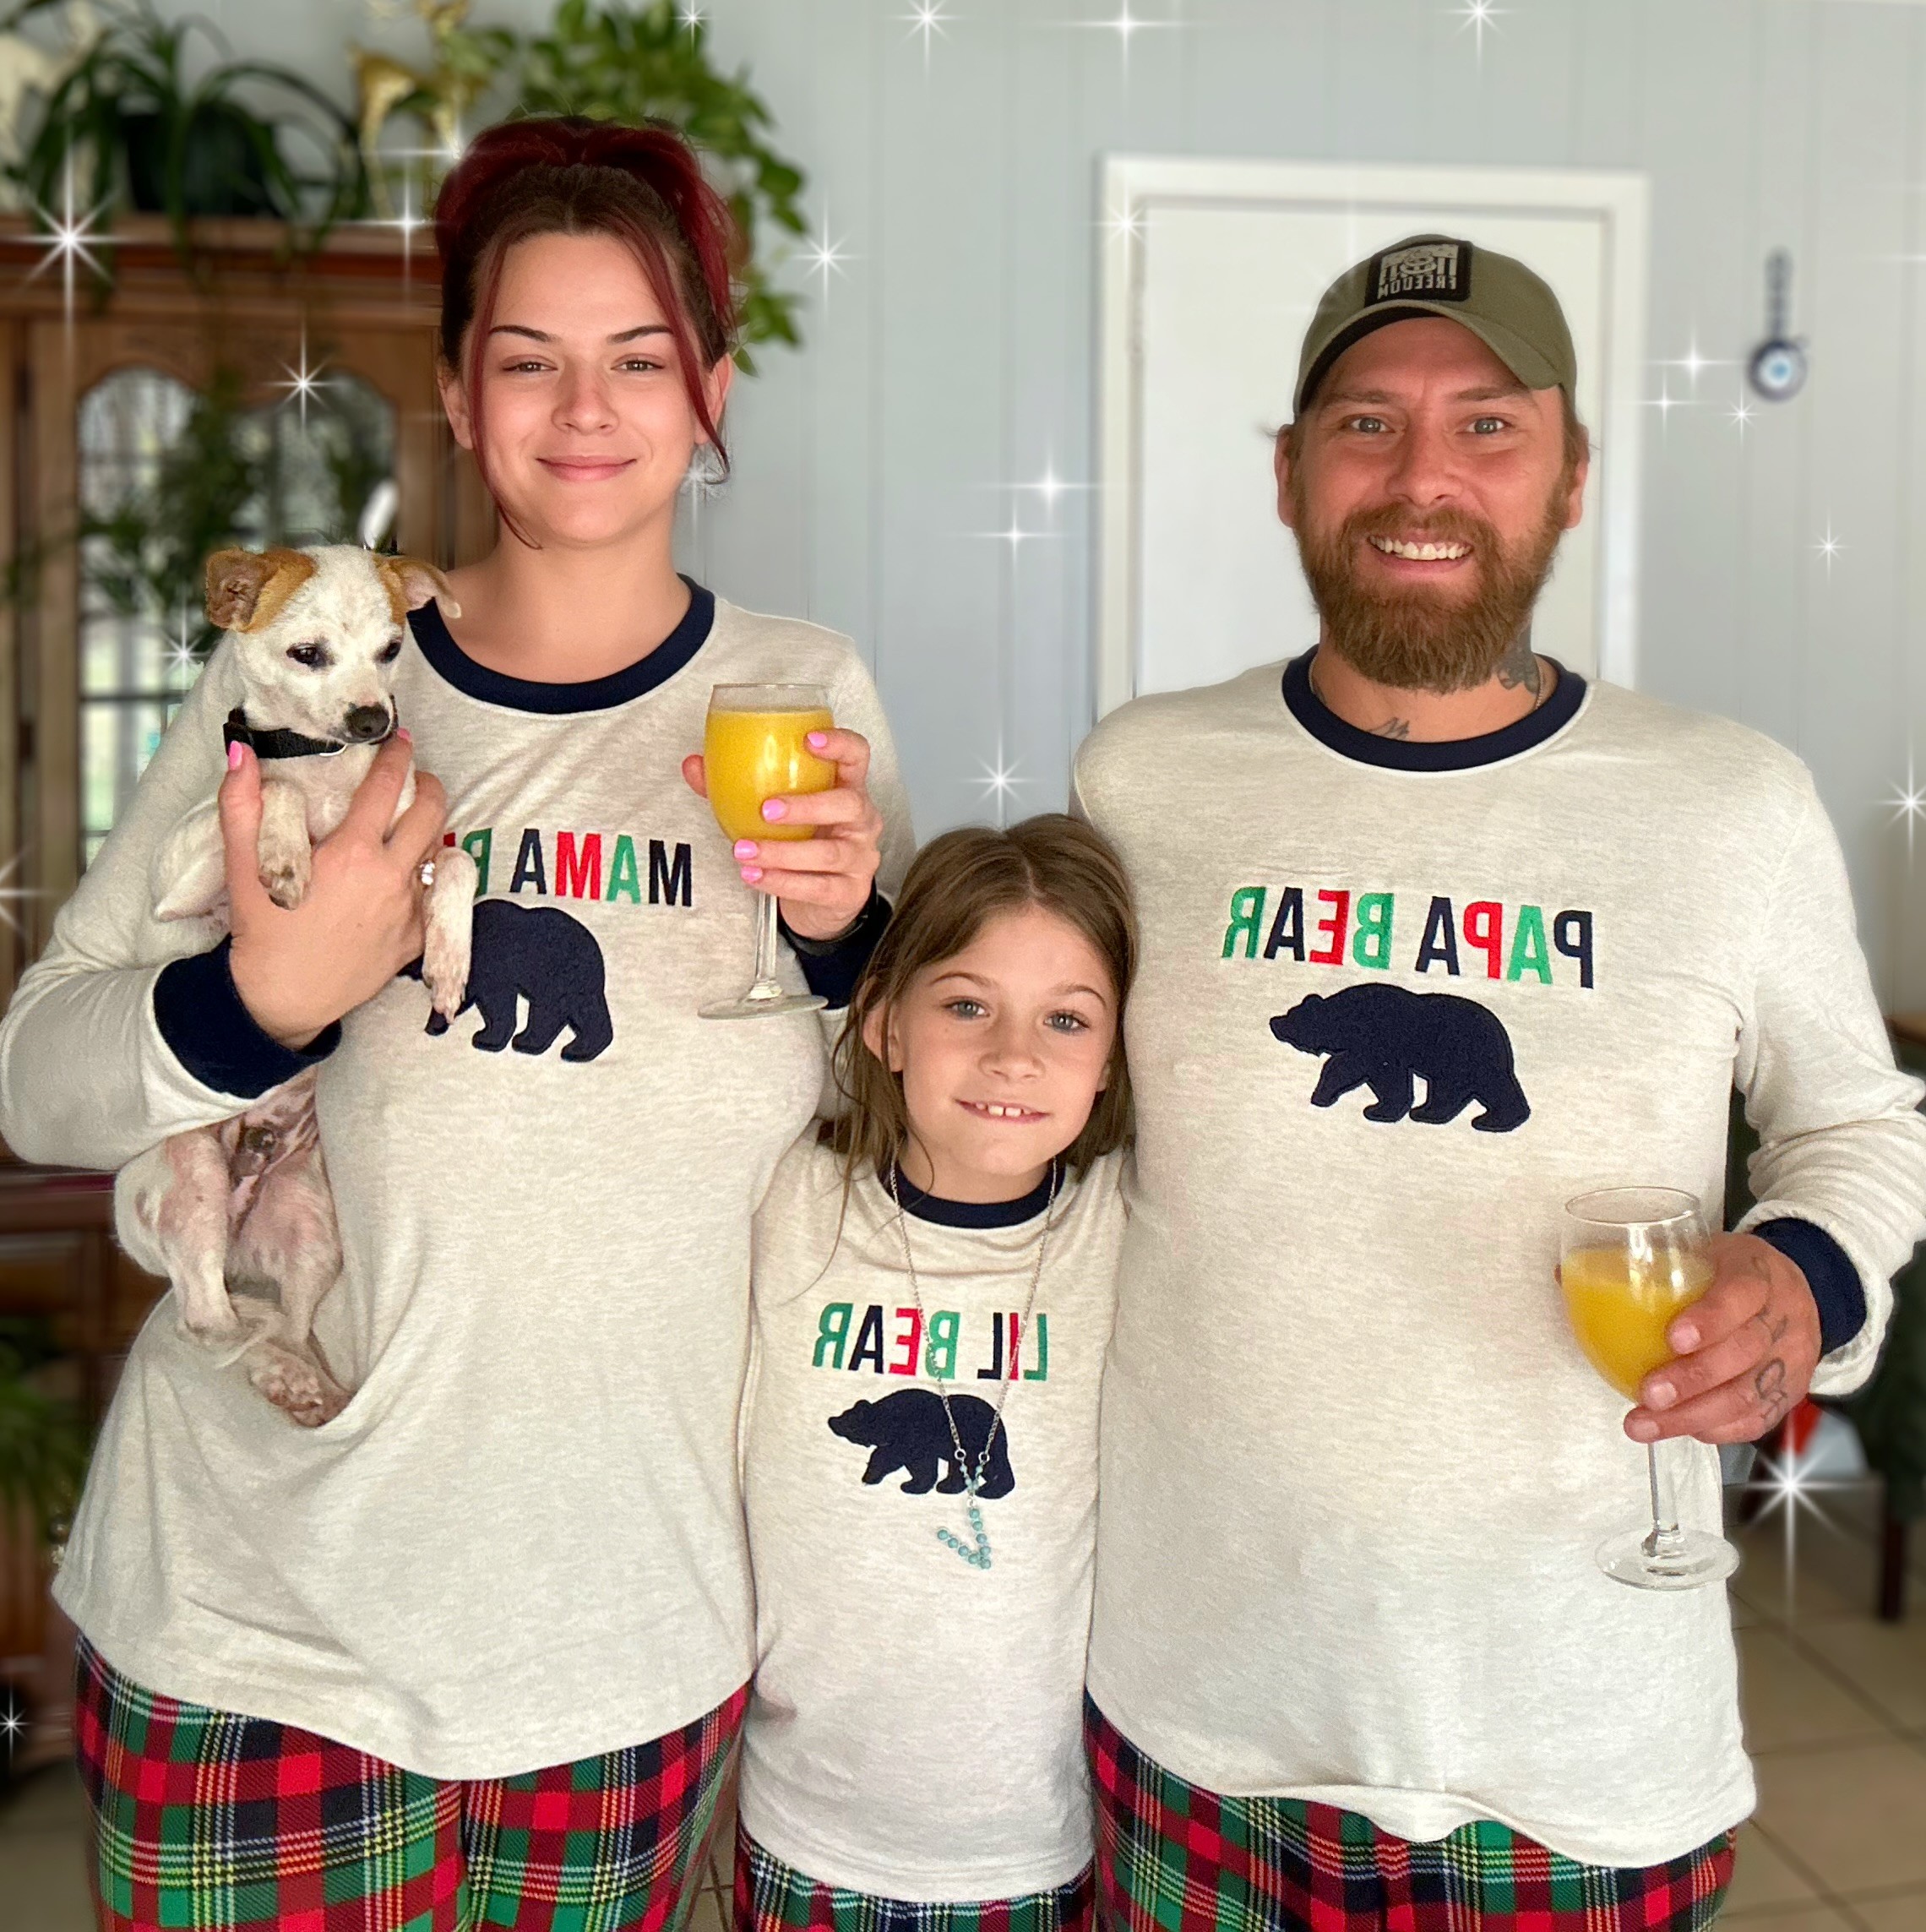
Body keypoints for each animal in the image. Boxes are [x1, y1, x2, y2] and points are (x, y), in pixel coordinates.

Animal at [114, 544, 477, 1425]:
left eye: (392, 648)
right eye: (306, 652)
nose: (373, 721)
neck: (330, 780)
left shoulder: (407, 884)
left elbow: (457, 865)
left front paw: (451, 957)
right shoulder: (182, 885)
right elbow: (268, 788)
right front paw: (282, 855)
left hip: (313, 1229)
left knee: (285, 1320)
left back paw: (303, 1379)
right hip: (187, 1181)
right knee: (209, 1318)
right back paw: (271, 1361)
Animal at [414, 898, 614, 1063]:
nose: (430, 1027)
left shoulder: (491, 965)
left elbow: (497, 1002)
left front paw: (485, 1037)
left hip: (558, 976)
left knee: (549, 1010)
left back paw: (528, 1041)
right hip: (579, 985)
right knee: (587, 1012)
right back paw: (581, 1046)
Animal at [827, 1389, 1017, 1499]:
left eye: (848, 1422)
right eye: (844, 1413)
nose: (832, 1420)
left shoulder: (914, 1433)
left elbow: (891, 1455)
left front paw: (870, 1476)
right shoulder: (921, 1446)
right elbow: (921, 1466)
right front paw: (913, 1485)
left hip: (974, 1440)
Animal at [1268, 983, 1530, 1133]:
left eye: (1291, 1015)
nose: (1274, 1021)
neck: (1348, 1020)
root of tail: (1499, 1030)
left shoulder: (1378, 1043)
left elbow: (1351, 1068)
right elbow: (1380, 1078)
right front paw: (1379, 1107)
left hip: (1467, 1053)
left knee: (1486, 1083)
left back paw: (1490, 1120)